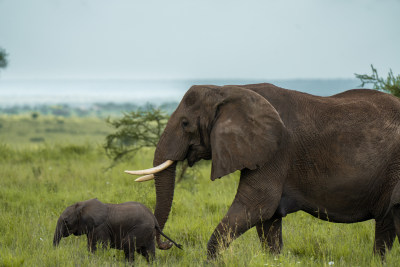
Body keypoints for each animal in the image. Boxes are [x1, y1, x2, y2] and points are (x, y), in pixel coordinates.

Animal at [52, 200, 182, 262]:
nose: (55, 251)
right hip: (148, 233)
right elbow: (90, 247)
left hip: (141, 229)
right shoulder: (92, 229)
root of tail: (154, 219)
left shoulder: (101, 228)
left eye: (66, 221)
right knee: (148, 252)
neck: (83, 205)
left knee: (128, 246)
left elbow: (101, 247)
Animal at [126, 83, 400, 260]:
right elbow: (268, 220)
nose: (167, 245)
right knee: (385, 224)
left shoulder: (275, 151)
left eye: (185, 124)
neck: (228, 89)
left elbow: (256, 206)